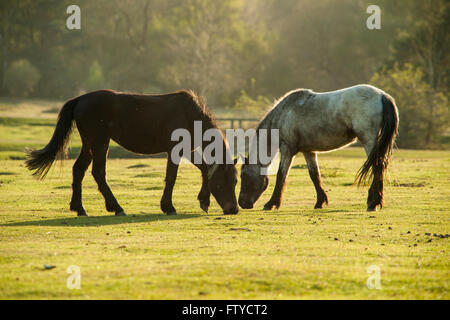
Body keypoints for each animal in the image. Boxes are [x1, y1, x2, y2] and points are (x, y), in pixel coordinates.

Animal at [25, 89, 239, 216]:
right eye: (223, 182)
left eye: (235, 181)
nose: (234, 209)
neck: (189, 113)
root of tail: (80, 99)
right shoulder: (177, 149)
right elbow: (172, 177)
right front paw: (168, 207)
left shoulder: (188, 149)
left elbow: (203, 169)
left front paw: (204, 200)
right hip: (100, 143)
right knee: (98, 173)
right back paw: (116, 207)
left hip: (89, 144)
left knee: (79, 170)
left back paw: (79, 208)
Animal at [241, 84, 400, 211]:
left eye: (244, 176)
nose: (242, 203)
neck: (283, 115)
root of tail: (382, 96)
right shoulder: (308, 151)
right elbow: (315, 175)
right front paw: (320, 202)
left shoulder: (287, 149)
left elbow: (282, 175)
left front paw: (271, 203)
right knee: (380, 166)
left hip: (369, 141)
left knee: (378, 166)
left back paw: (373, 203)